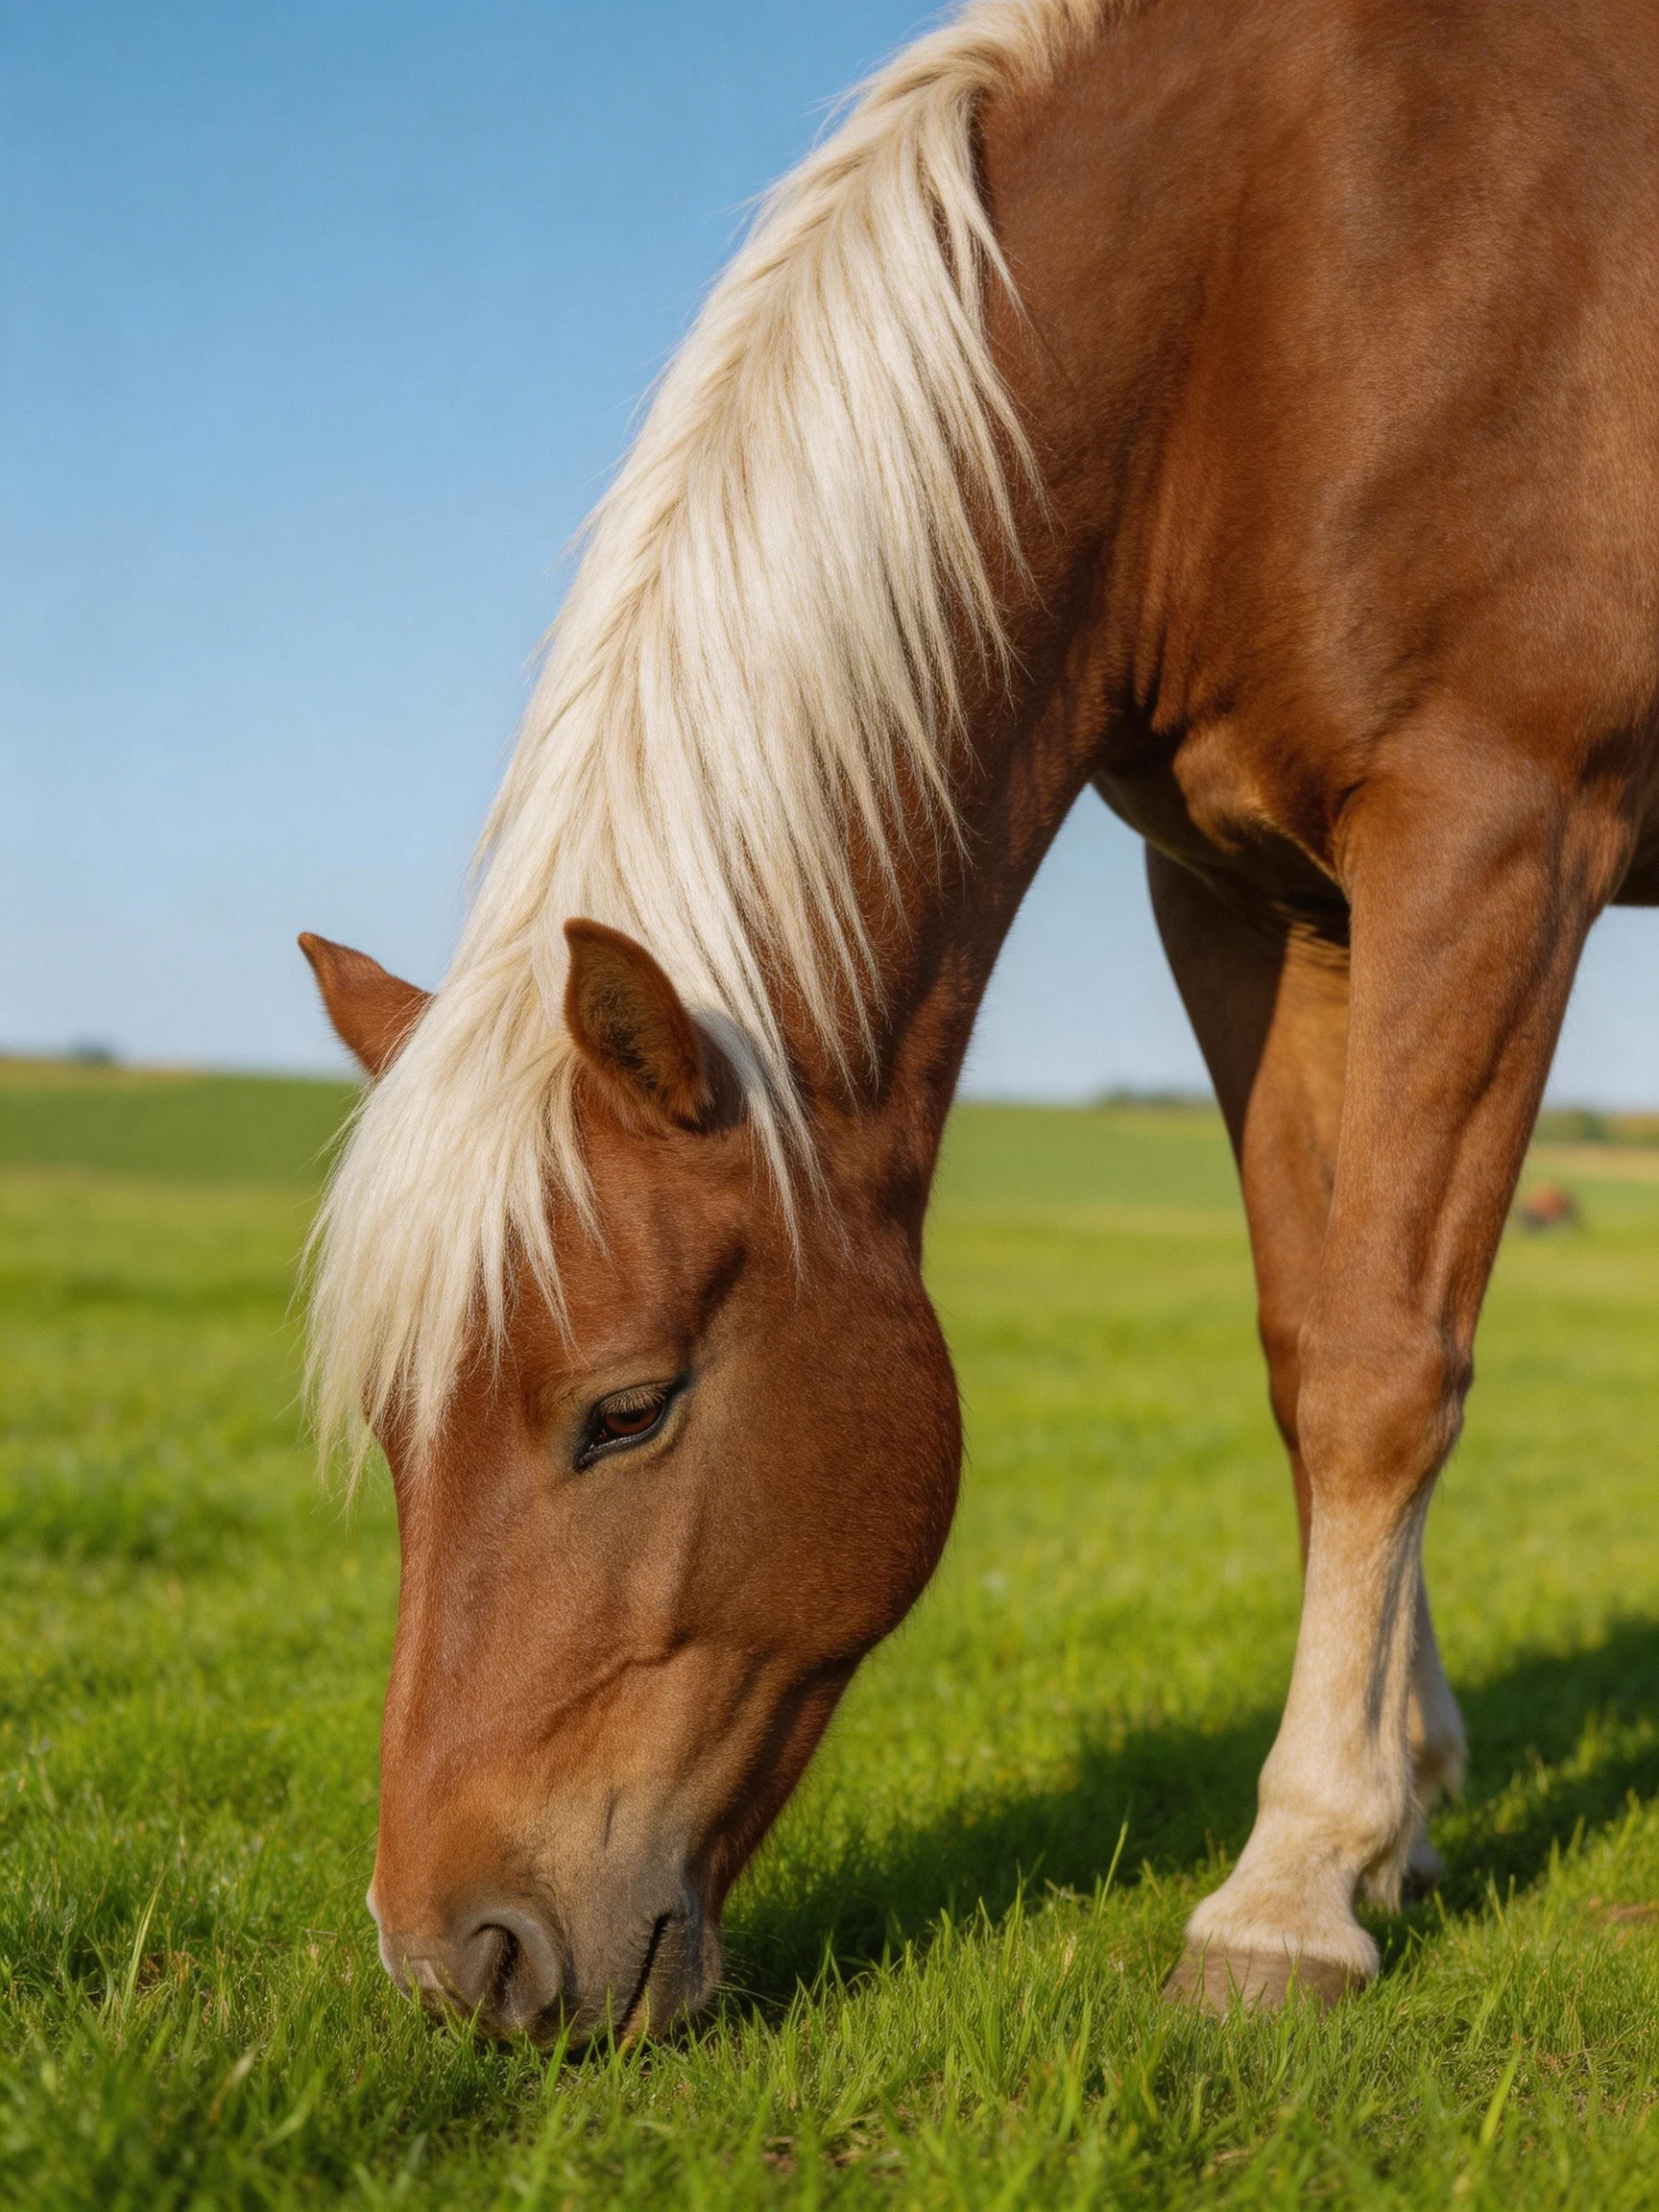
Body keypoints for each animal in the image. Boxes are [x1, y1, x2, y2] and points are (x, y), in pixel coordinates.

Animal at [300, 0, 1659, 2038]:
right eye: (395, 1425)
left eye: (623, 1411)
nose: (457, 1959)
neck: (1288, 264)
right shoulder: (1252, 896)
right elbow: (1307, 1341)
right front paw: (1394, 1815)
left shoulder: (1490, 831)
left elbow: (1380, 1372)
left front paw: (1282, 1892)